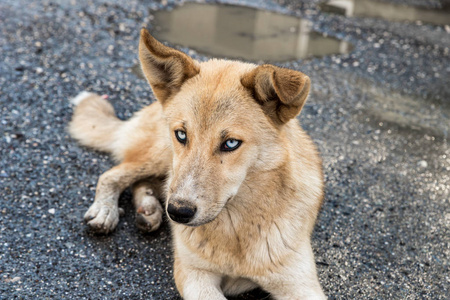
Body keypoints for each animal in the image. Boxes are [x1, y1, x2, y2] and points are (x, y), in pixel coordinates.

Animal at [68, 28, 326, 300]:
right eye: (182, 135)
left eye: (231, 143)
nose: (178, 213)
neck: (234, 226)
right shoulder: (194, 274)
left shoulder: (299, 283)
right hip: (160, 155)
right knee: (114, 174)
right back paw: (107, 210)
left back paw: (149, 208)